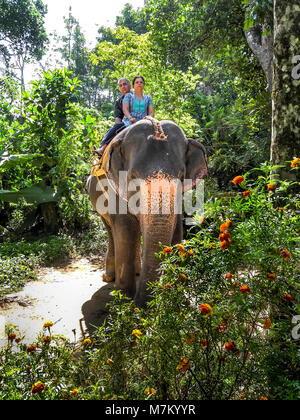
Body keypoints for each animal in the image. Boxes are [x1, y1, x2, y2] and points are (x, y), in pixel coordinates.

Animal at [86, 118, 207, 306]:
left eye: (181, 176)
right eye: (133, 177)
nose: (141, 305)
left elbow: (177, 229)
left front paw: (176, 294)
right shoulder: (115, 190)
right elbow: (125, 230)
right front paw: (123, 301)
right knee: (111, 229)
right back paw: (109, 278)